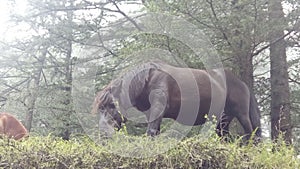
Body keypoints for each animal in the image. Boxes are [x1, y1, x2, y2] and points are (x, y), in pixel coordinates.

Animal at [92, 61, 262, 139]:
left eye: (111, 105)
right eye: (100, 109)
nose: (103, 132)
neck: (147, 79)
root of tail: (242, 83)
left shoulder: (157, 110)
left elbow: (150, 133)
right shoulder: (153, 115)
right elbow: (154, 133)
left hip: (241, 114)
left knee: (251, 133)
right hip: (223, 119)